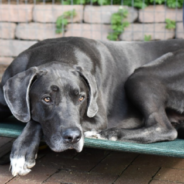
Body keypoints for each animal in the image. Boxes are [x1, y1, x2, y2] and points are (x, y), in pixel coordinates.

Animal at [0, 37, 184, 175]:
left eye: (81, 98)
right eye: (46, 99)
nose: (73, 138)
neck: (56, 54)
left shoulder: (98, 118)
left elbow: (35, 121)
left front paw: (23, 151)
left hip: (141, 76)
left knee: (164, 128)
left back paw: (108, 134)